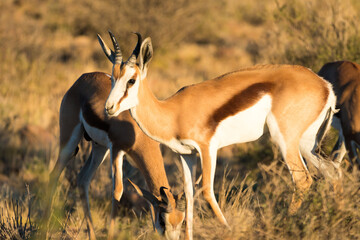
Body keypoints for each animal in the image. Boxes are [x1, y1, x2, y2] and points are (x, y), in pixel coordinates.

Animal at [44, 32, 186, 240]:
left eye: (181, 221)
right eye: (162, 220)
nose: (108, 108)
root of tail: (83, 78)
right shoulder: (117, 150)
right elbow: (117, 192)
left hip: (99, 148)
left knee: (83, 179)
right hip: (70, 142)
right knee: (54, 175)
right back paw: (44, 228)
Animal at [97, 31, 340, 240]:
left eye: (131, 80)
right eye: (113, 78)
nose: (109, 108)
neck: (173, 112)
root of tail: (324, 85)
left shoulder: (207, 148)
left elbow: (206, 191)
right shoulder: (186, 155)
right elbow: (189, 197)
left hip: (285, 140)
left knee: (303, 180)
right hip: (307, 144)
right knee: (332, 172)